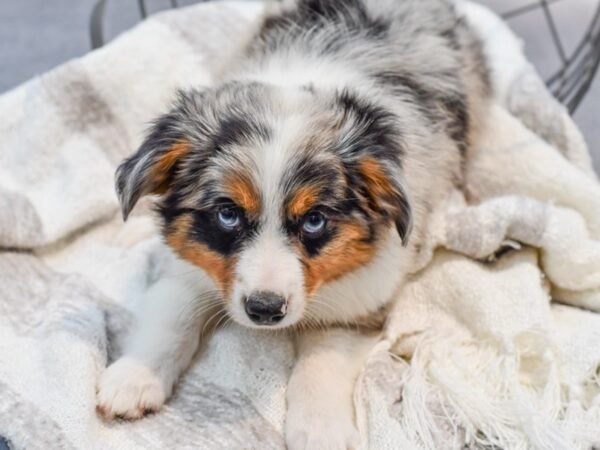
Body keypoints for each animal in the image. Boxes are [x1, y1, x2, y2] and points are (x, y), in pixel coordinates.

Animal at [96, 0, 490, 446]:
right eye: (228, 214)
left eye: (314, 220)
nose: (265, 310)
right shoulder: (185, 267)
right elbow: (171, 316)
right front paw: (134, 378)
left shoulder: (355, 303)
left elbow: (321, 362)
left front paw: (321, 429)